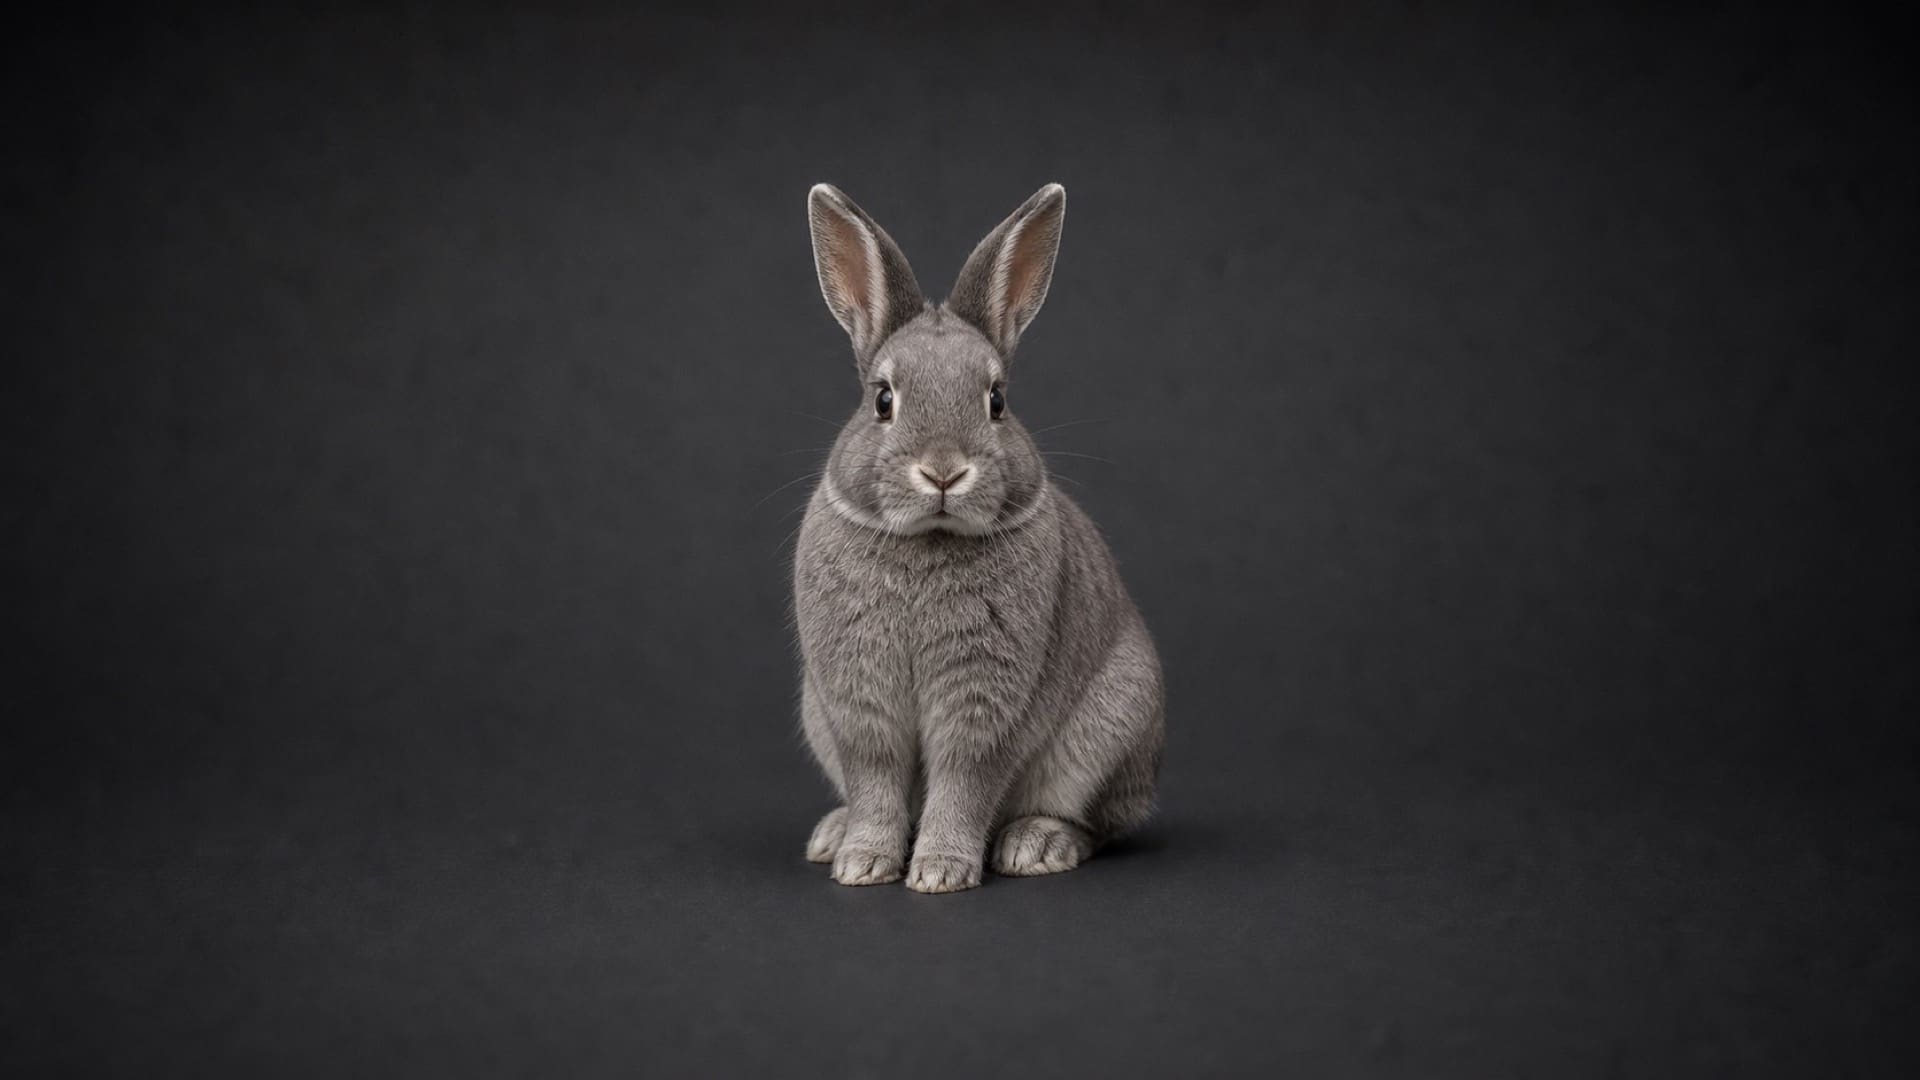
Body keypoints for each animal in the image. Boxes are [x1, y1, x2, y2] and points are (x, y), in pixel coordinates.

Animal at [792, 182, 1165, 894]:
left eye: (997, 400)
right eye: (882, 400)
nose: (944, 471)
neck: (929, 538)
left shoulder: (986, 705)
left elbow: (965, 781)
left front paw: (939, 872)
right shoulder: (858, 705)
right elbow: (876, 780)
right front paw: (863, 863)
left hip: (1111, 729)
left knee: (1097, 824)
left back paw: (1036, 844)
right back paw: (831, 834)